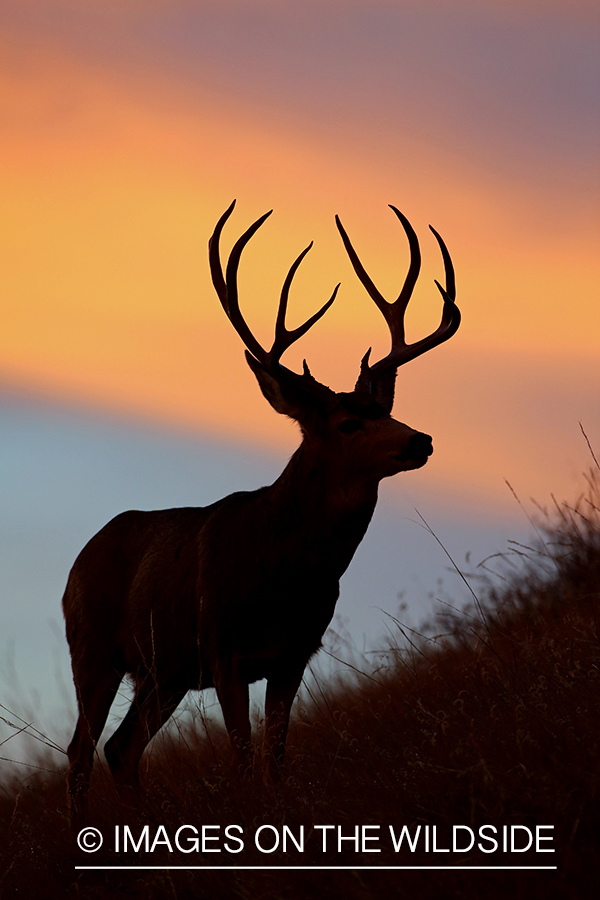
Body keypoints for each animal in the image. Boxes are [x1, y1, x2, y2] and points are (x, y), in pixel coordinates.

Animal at [63, 200, 460, 827]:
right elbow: (244, 765)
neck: (284, 571)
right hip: (95, 650)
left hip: (165, 672)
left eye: (387, 409)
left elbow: (275, 763)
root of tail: (76, 563)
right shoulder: (225, 650)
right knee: (80, 751)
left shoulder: (292, 654)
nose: (419, 440)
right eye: (349, 422)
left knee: (120, 748)